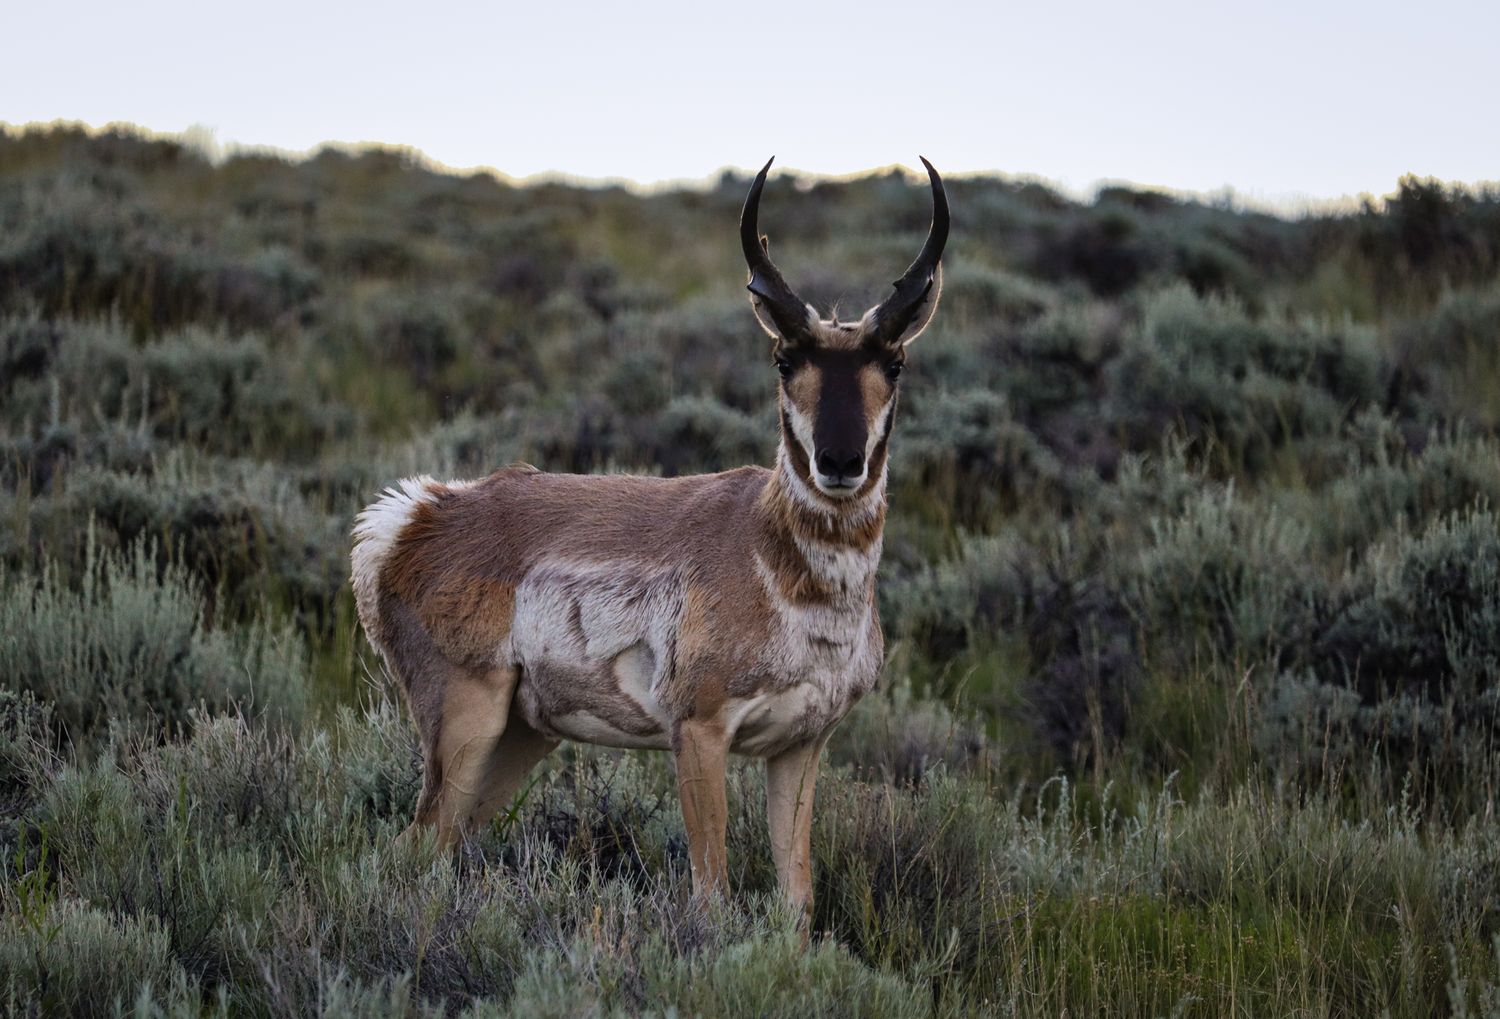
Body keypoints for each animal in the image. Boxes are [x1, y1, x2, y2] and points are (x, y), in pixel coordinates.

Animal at [350, 156, 948, 921]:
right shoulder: (698, 732)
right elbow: (711, 893)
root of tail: (418, 513)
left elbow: (797, 900)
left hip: (521, 734)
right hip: (467, 719)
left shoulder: (800, 747)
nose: (838, 460)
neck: (778, 558)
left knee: (438, 843)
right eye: (785, 360)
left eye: (894, 363)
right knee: (416, 842)